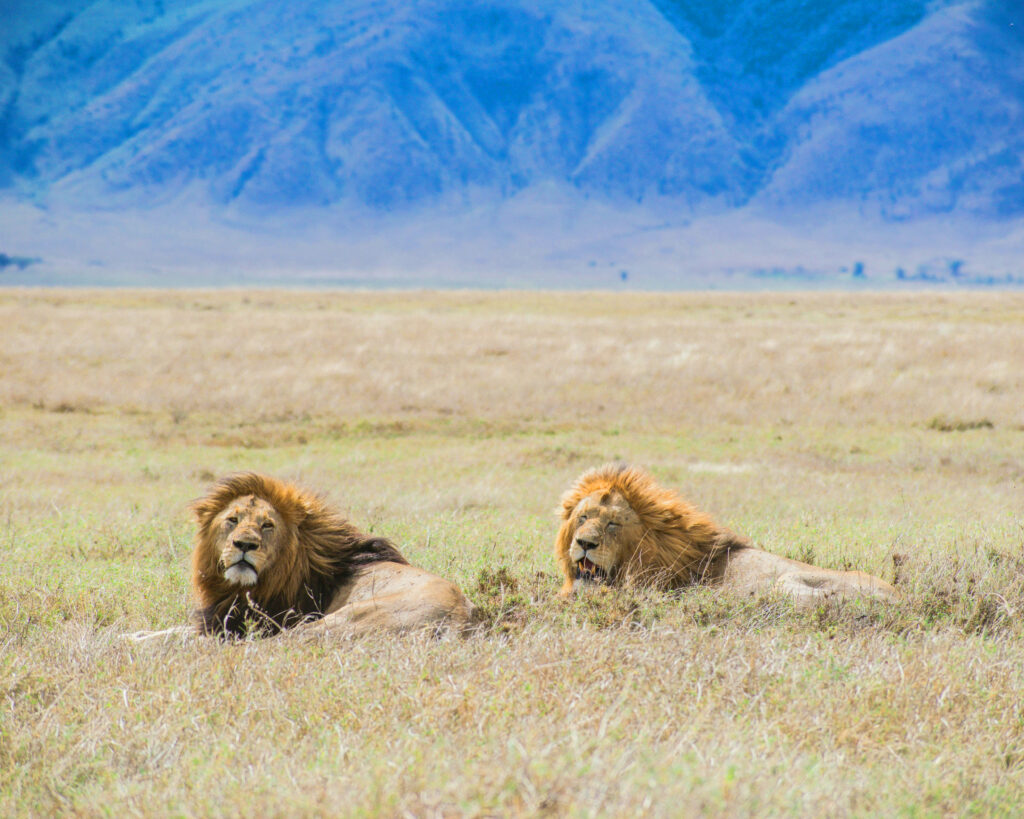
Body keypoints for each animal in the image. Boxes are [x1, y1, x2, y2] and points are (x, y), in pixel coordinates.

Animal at [129, 472, 477, 641]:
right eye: (233, 520)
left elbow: (181, 635)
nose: (244, 544)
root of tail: (460, 619)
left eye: (267, 525)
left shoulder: (248, 623)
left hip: (337, 620)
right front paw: (131, 636)